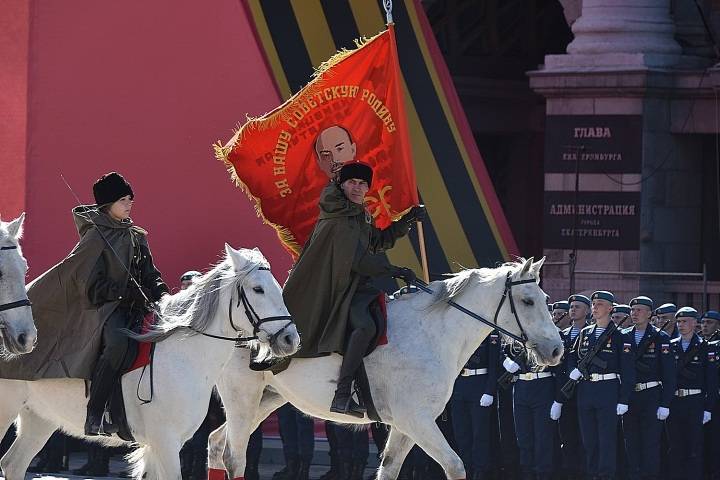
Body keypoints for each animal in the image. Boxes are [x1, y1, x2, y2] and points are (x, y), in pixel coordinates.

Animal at [0, 246, 300, 478]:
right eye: (258, 289)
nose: (290, 339)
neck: (184, 356)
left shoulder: (165, 445)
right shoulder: (165, 442)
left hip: (40, 417)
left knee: (13, 464)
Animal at [208, 256, 564, 478]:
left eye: (546, 299)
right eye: (528, 301)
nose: (557, 350)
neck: (432, 333)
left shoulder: (408, 425)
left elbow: (390, 468)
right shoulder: (416, 420)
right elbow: (454, 466)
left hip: (266, 400)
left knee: (215, 442)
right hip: (243, 399)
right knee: (233, 457)